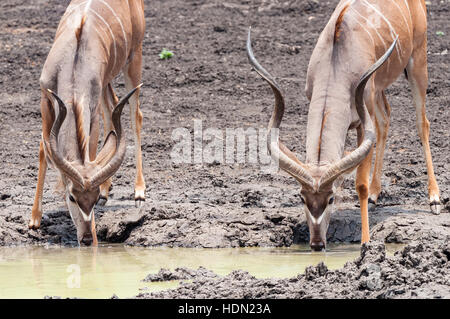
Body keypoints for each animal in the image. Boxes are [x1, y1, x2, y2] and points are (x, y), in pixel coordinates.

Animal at [29, 0, 146, 248]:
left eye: (90, 201)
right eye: (72, 197)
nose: (85, 238)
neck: (72, 64)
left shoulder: (90, 111)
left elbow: (91, 149)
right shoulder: (46, 98)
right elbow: (44, 148)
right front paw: (34, 219)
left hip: (134, 56)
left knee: (135, 115)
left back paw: (139, 190)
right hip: (107, 80)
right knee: (113, 107)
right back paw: (107, 188)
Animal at [246, 0, 440, 250]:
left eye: (331, 199)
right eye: (301, 198)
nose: (317, 244)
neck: (337, 61)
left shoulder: (362, 120)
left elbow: (360, 184)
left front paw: (365, 243)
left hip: (417, 62)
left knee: (422, 123)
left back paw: (434, 199)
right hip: (378, 90)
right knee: (385, 119)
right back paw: (376, 195)